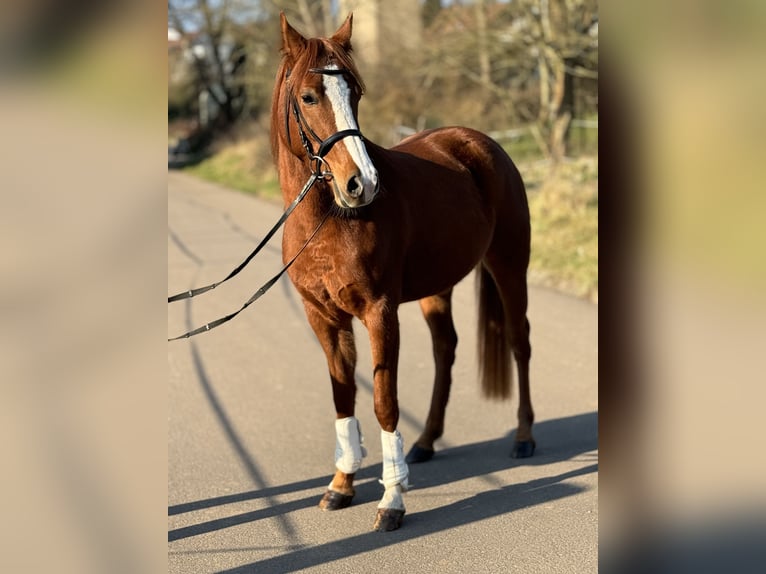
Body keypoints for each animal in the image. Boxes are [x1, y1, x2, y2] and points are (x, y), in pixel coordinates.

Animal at [274, 12, 536, 536]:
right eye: (309, 96)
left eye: (355, 92)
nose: (362, 184)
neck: (328, 219)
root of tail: (480, 142)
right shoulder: (323, 319)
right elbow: (343, 396)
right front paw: (341, 486)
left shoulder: (380, 312)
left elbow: (383, 401)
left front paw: (392, 501)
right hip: (439, 287)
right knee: (445, 350)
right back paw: (427, 441)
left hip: (509, 265)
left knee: (520, 341)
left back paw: (523, 437)